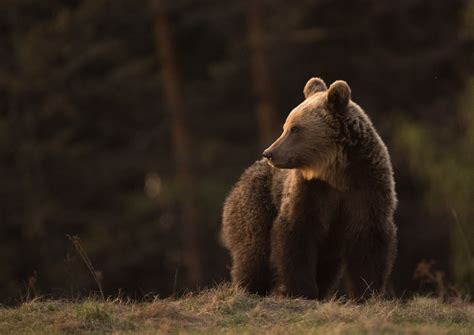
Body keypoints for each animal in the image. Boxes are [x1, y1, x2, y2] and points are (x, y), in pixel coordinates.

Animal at [221, 78, 396, 300]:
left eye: (295, 128)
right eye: (285, 126)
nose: (269, 153)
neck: (335, 172)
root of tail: (241, 179)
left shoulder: (367, 186)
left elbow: (368, 239)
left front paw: (366, 292)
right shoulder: (309, 191)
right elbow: (297, 233)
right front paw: (302, 290)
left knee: (326, 265)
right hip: (256, 203)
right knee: (254, 252)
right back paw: (249, 288)